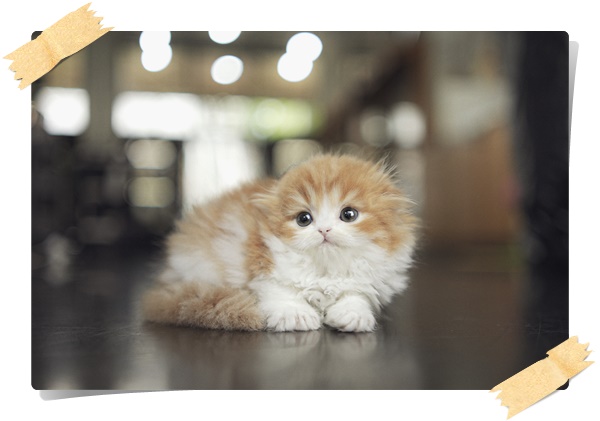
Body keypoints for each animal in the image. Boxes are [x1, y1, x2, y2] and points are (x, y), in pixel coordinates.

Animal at [142, 154, 418, 332]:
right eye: (304, 219)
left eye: (348, 214)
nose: (324, 229)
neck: (326, 270)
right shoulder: (263, 265)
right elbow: (280, 290)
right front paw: (296, 314)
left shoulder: (368, 280)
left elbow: (355, 294)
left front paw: (353, 315)